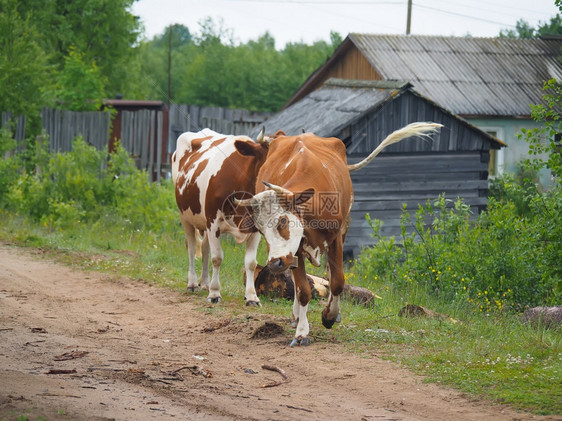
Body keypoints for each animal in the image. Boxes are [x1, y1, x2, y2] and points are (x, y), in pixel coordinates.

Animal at [170, 128, 268, 306]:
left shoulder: (256, 228)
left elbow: (251, 263)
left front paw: (251, 296)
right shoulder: (213, 222)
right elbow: (217, 258)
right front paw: (215, 293)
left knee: (204, 248)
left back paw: (205, 283)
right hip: (185, 217)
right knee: (192, 247)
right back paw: (193, 283)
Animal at [234, 121, 440, 344]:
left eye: (282, 220)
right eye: (261, 229)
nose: (274, 264)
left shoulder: (336, 240)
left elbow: (337, 281)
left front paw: (329, 316)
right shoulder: (295, 251)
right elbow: (303, 289)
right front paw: (302, 331)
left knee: (330, 275)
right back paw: (297, 316)